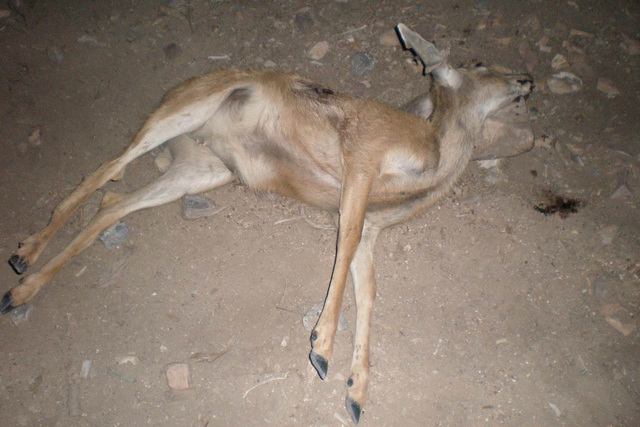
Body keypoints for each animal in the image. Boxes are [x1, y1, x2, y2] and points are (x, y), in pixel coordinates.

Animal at [0, 25, 532, 422]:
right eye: (480, 63)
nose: (527, 78)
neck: (437, 151)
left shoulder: (375, 229)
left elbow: (370, 291)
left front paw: (356, 391)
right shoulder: (364, 154)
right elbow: (345, 242)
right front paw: (320, 346)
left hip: (202, 170)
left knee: (113, 201)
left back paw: (21, 288)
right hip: (178, 115)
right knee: (104, 170)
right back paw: (23, 256)